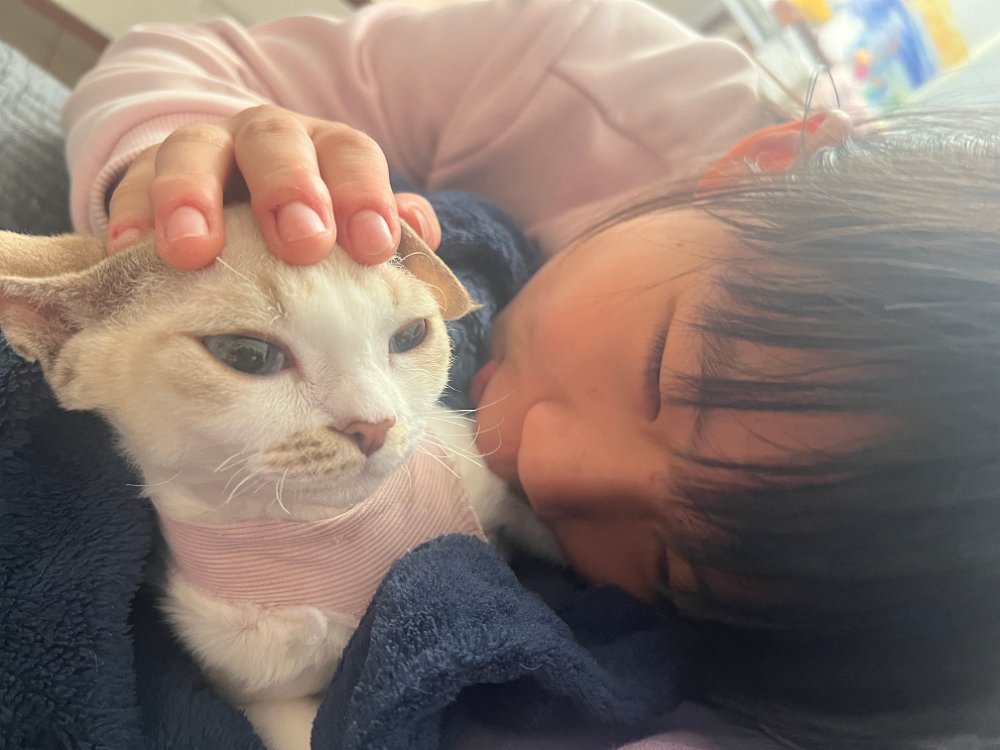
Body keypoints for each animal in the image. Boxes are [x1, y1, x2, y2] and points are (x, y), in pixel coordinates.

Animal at [0, 204, 560, 750]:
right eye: (246, 354)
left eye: (410, 335)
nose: (375, 424)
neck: (331, 537)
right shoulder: (260, 692)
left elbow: (532, 522)